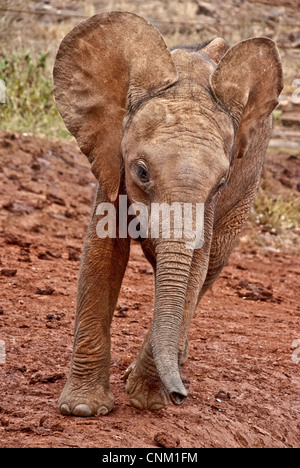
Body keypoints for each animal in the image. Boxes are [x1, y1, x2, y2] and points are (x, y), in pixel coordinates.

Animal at [53, 11, 284, 414]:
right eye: (142, 172)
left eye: (221, 182)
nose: (180, 396)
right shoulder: (112, 163)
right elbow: (101, 255)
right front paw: (82, 410)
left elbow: (195, 266)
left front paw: (146, 401)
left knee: (212, 265)